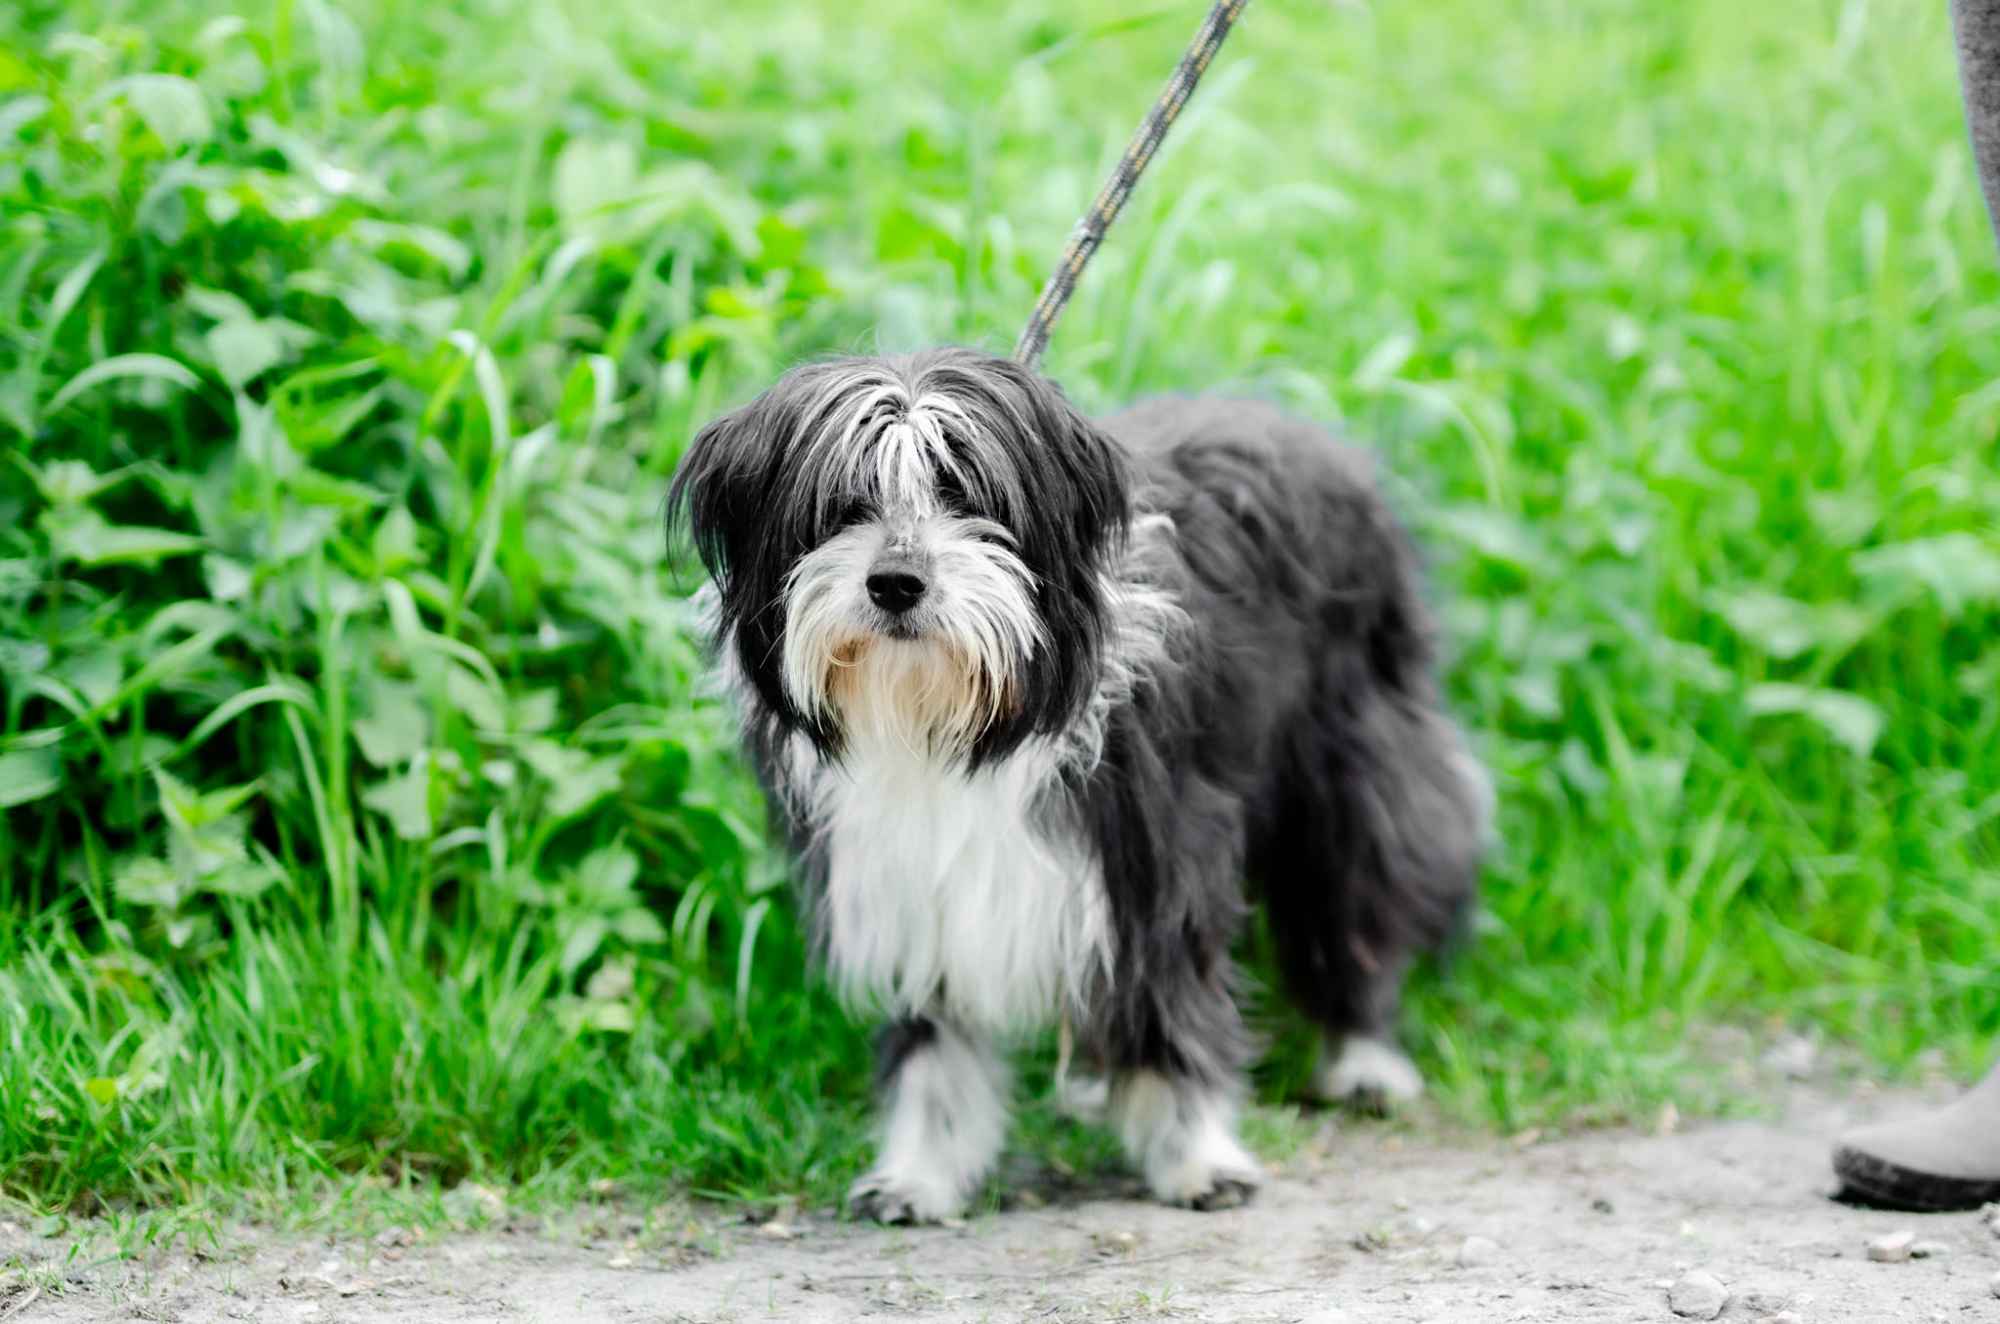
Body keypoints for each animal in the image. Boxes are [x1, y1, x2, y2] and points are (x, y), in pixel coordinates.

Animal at [668, 350, 1488, 1224]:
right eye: (840, 505)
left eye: (965, 491)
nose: (895, 582)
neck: (950, 722)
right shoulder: (907, 879)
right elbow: (935, 1047)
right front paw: (921, 1172)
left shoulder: (1152, 857)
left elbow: (1166, 997)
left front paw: (1197, 1157)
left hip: (1352, 765)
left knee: (1361, 899)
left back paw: (1365, 1057)